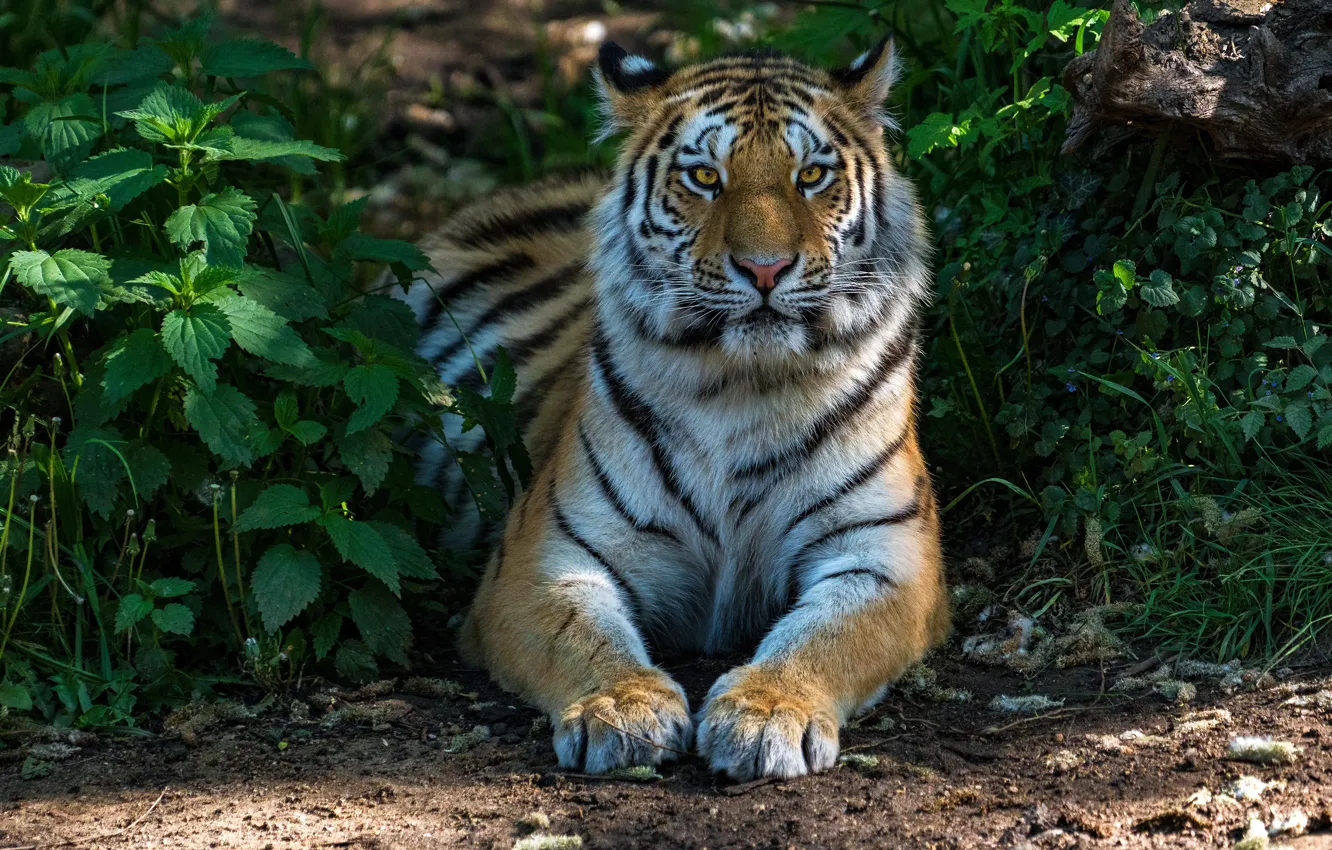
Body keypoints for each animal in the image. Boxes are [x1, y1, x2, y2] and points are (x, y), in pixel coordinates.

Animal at [394, 41, 948, 788]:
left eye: (811, 175)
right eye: (705, 177)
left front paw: (768, 713)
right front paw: (622, 708)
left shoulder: (885, 555)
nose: (765, 269)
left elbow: (828, 637)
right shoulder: (543, 557)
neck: (746, 387)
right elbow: (582, 636)